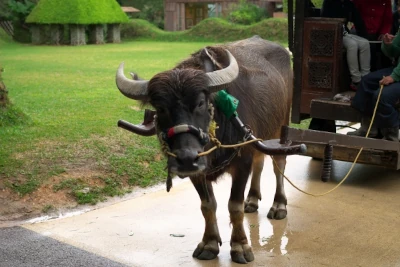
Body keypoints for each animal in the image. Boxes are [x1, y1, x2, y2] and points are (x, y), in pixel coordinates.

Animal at [115, 35, 304, 264]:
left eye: (200, 103)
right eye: (160, 108)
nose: (187, 158)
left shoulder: (242, 161)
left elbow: (234, 206)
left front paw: (240, 246)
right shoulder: (198, 170)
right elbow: (207, 206)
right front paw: (209, 244)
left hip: (281, 126)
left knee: (279, 165)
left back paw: (278, 206)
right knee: (260, 163)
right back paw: (252, 199)